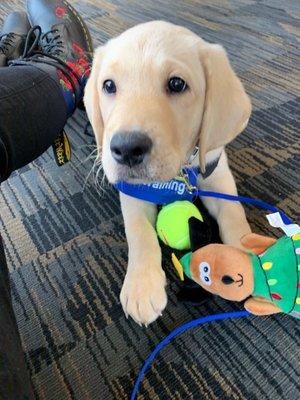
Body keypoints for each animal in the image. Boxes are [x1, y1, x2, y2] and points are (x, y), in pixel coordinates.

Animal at [83, 20, 252, 324]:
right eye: (109, 85)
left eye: (176, 84)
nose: (126, 149)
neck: (178, 172)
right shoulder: (132, 191)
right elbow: (138, 231)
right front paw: (142, 285)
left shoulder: (216, 172)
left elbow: (234, 212)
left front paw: (245, 251)